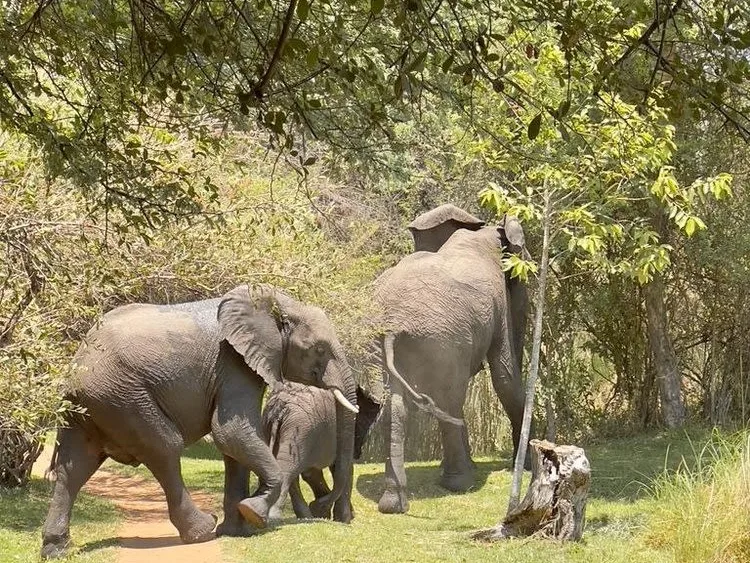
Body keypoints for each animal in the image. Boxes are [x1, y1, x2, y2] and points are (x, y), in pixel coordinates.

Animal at [40, 284, 359, 559]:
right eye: (319, 349)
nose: (323, 508)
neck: (275, 302)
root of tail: (78, 360)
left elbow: (234, 444)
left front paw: (238, 530)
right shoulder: (233, 364)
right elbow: (230, 432)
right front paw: (254, 513)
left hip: (91, 405)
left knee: (75, 466)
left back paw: (56, 549)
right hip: (121, 395)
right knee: (165, 448)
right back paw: (203, 529)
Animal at [260, 382, 381, 521]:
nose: (317, 505)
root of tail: (279, 408)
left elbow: (312, 472)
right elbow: (344, 469)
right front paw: (344, 519)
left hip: (271, 425)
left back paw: (305, 516)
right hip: (300, 430)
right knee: (289, 469)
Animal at [374, 204, 530, 514]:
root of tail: (394, 322)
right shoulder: (499, 303)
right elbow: (505, 377)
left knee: (394, 408)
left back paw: (393, 504)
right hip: (444, 338)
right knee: (449, 399)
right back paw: (459, 483)